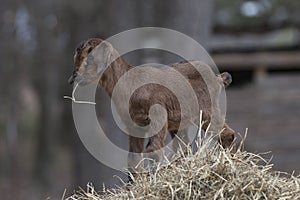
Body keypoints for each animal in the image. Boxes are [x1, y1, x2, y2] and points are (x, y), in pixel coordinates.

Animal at [68, 38, 234, 174]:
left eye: (90, 56)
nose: (75, 77)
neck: (130, 82)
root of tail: (217, 77)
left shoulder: (158, 116)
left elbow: (153, 151)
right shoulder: (134, 126)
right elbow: (133, 158)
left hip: (206, 109)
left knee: (226, 133)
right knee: (184, 147)